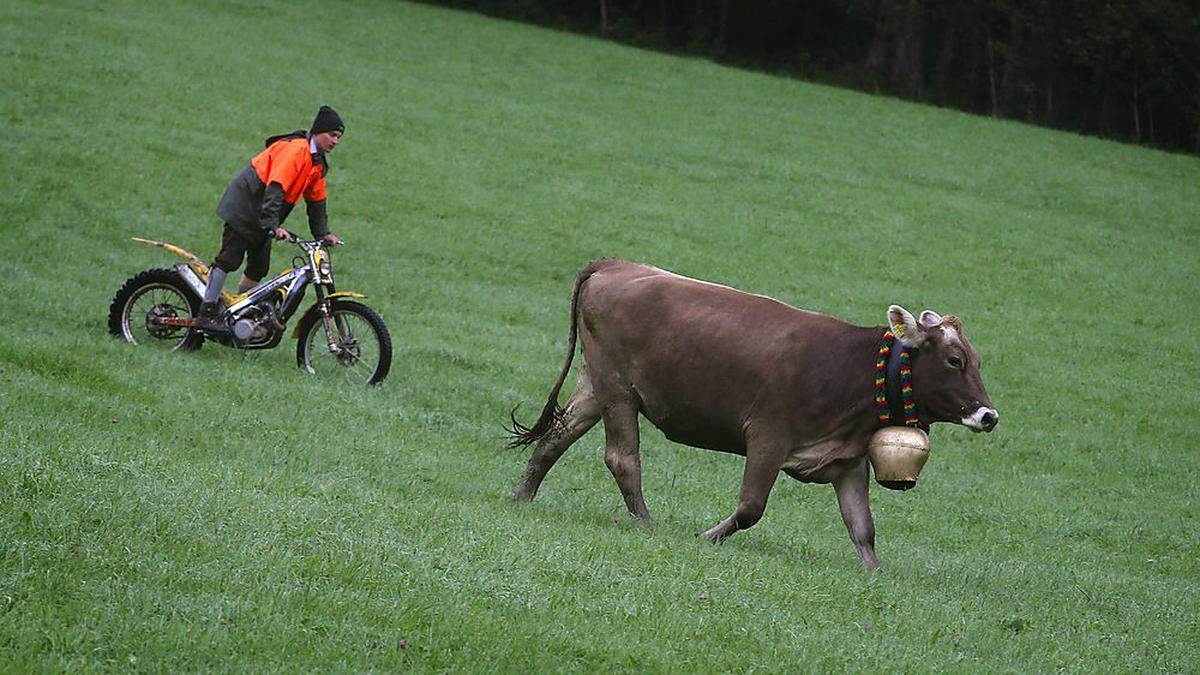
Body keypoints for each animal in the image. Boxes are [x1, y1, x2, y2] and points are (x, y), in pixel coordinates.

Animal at [504, 257, 993, 566]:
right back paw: (646, 522)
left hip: (595, 386)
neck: (845, 367)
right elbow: (750, 508)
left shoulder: (848, 460)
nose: (988, 416)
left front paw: (874, 574)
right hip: (619, 389)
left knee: (555, 437)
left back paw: (520, 497)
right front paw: (704, 537)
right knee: (622, 459)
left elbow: (862, 527)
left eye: (976, 360)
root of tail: (615, 264)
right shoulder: (767, 438)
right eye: (955, 360)